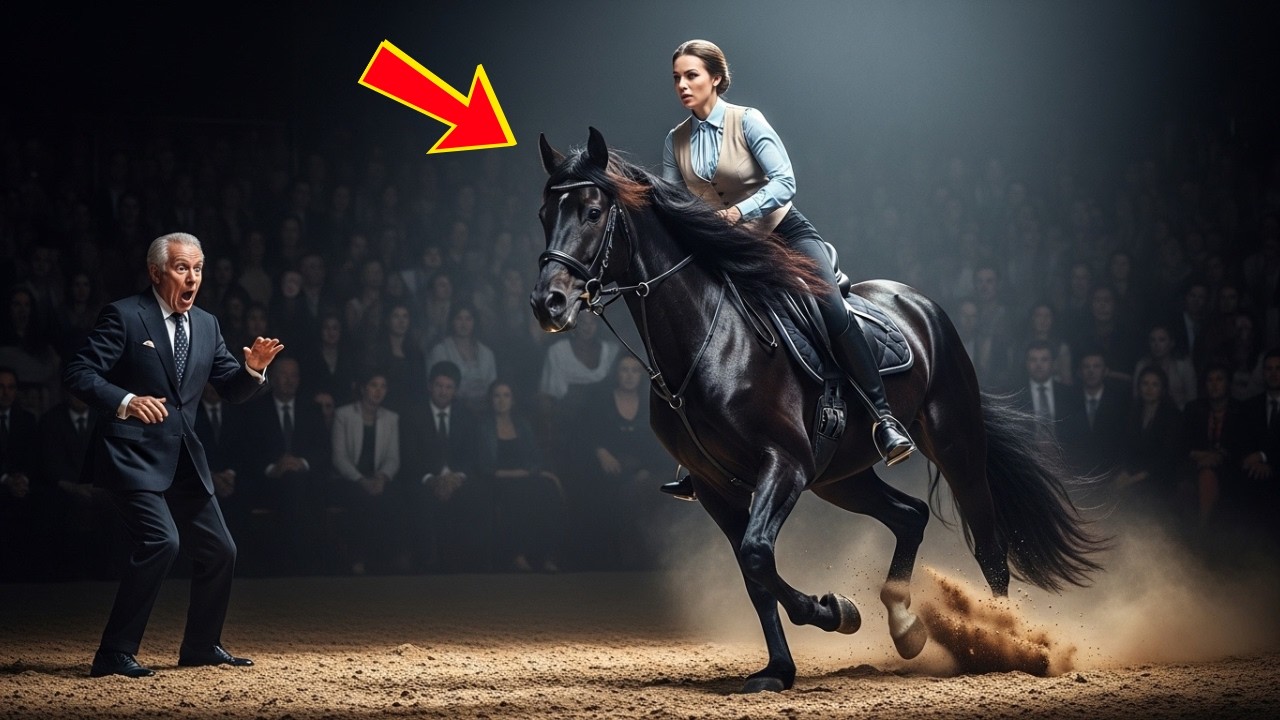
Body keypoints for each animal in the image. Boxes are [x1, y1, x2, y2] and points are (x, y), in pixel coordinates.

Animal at [530, 128, 1104, 693]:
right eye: (543, 214)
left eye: (592, 212)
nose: (547, 303)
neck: (710, 341)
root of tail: (920, 304)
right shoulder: (716, 486)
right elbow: (753, 571)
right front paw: (784, 664)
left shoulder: (785, 464)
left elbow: (758, 554)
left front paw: (834, 612)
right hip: (841, 476)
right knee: (910, 515)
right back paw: (906, 625)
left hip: (955, 444)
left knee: (989, 545)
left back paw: (1005, 641)